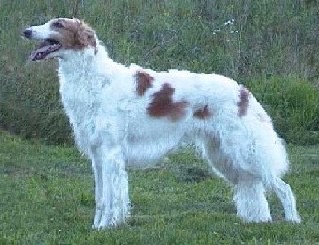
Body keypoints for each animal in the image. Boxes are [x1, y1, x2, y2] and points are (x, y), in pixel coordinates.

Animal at [23, 17, 302, 230]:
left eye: (57, 24)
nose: (26, 31)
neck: (96, 80)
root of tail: (243, 91)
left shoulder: (111, 152)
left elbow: (113, 199)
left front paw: (106, 227)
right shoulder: (97, 155)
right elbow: (101, 198)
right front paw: (96, 227)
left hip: (244, 150)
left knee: (283, 187)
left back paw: (292, 221)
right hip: (223, 154)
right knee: (254, 186)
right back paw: (258, 220)